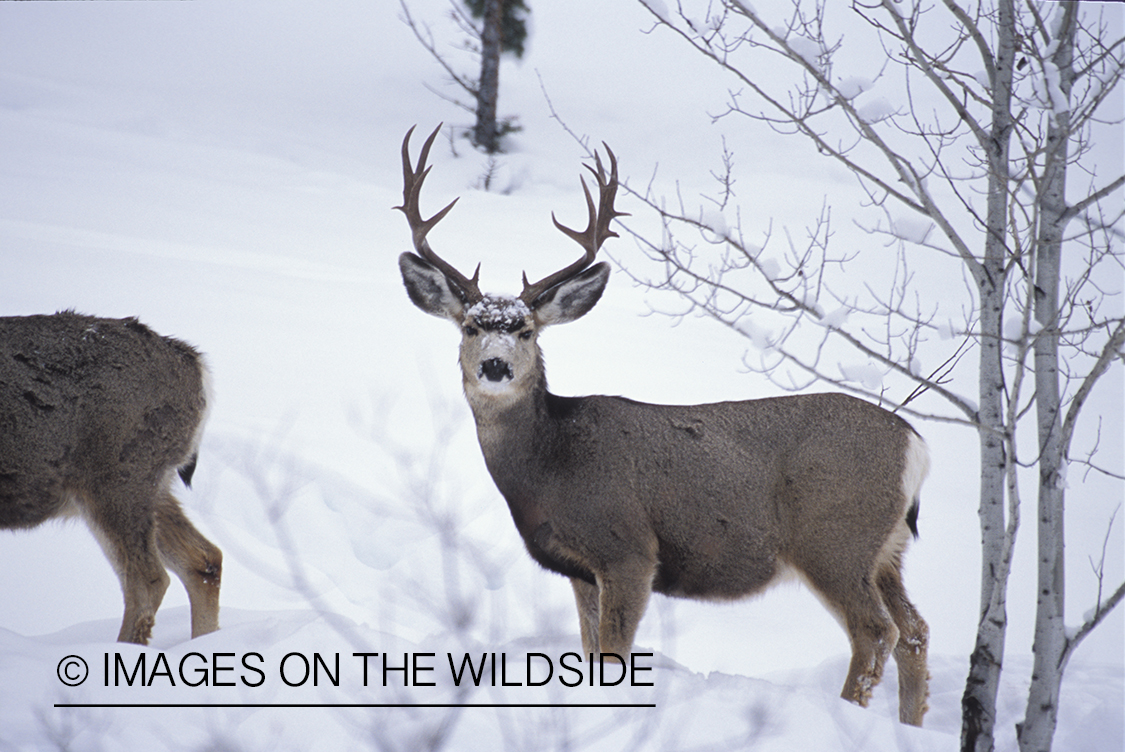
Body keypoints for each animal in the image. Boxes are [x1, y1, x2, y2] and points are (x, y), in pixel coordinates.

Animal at [396, 124, 931, 729]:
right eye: (470, 327)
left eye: (527, 330)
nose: (494, 366)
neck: (550, 466)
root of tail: (915, 445)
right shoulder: (580, 569)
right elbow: (588, 650)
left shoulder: (627, 548)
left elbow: (612, 653)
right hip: (886, 549)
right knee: (914, 630)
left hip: (834, 536)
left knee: (875, 632)